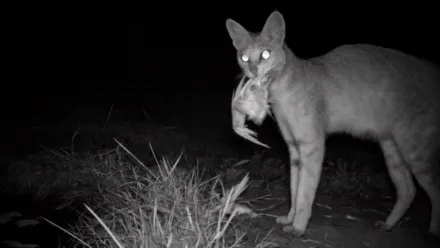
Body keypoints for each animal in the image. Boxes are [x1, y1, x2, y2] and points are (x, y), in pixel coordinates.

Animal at [225, 10, 440, 237]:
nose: (253, 70)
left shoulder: (312, 145)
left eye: (265, 54)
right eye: (244, 57)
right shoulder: (294, 149)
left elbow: (305, 191)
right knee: (408, 190)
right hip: (392, 150)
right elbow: (294, 187)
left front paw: (299, 226)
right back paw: (388, 225)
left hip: (416, 151)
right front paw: (291, 218)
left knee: (434, 190)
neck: (280, 93)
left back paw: (434, 232)